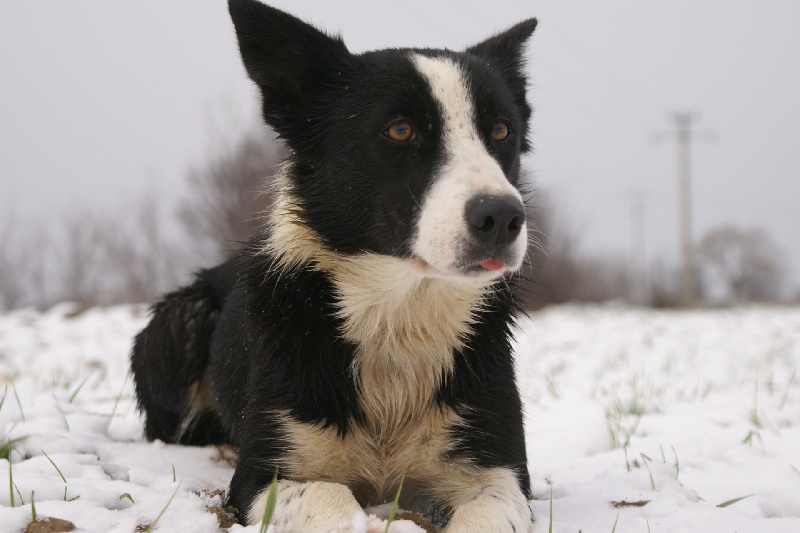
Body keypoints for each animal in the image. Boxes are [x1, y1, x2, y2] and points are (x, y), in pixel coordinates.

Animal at [133, 2, 536, 528]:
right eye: (400, 129)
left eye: (501, 130)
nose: (502, 217)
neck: (397, 318)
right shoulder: (265, 475)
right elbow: (330, 499)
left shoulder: (498, 472)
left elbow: (489, 514)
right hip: (180, 324)